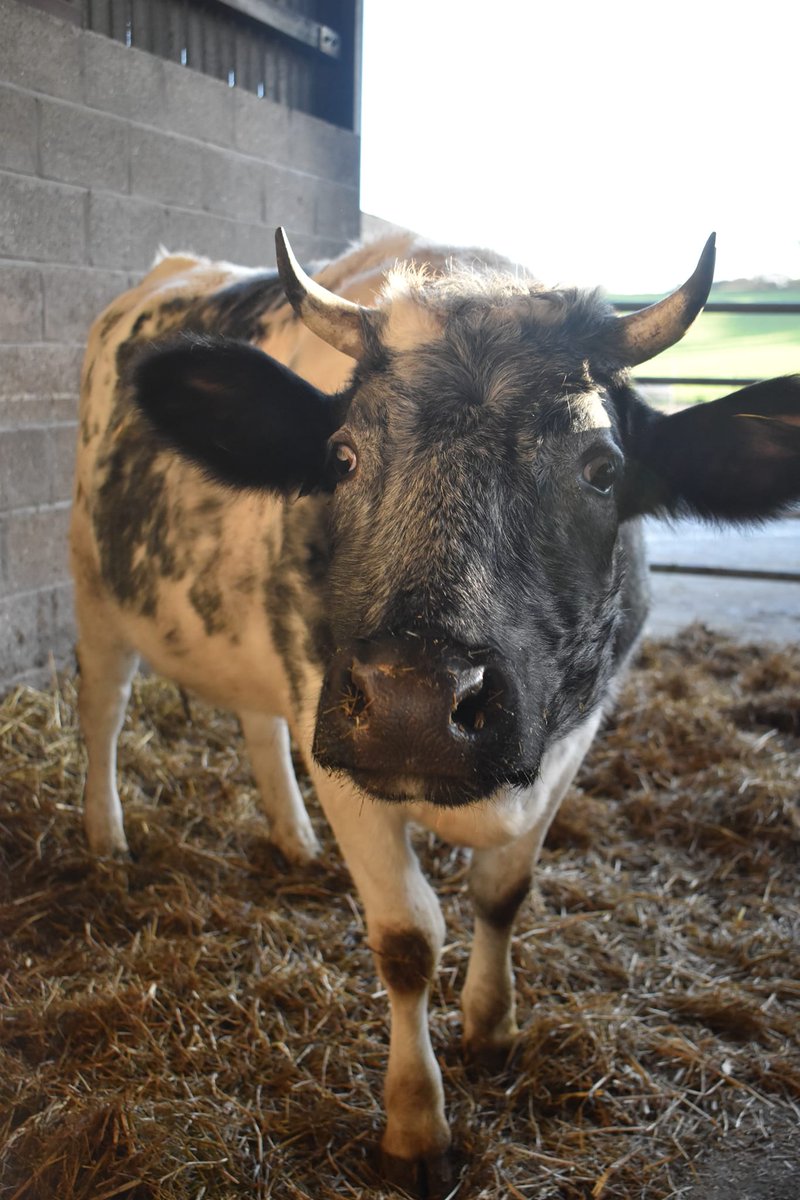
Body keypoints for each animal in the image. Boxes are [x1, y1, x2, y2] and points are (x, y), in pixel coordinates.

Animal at [71, 226, 800, 1196]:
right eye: (340, 457)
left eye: (601, 469)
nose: (414, 701)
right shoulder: (344, 747)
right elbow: (409, 939)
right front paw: (417, 1125)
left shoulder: (573, 736)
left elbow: (503, 892)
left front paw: (493, 1026)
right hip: (93, 583)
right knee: (105, 709)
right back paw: (108, 839)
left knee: (256, 721)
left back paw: (292, 839)